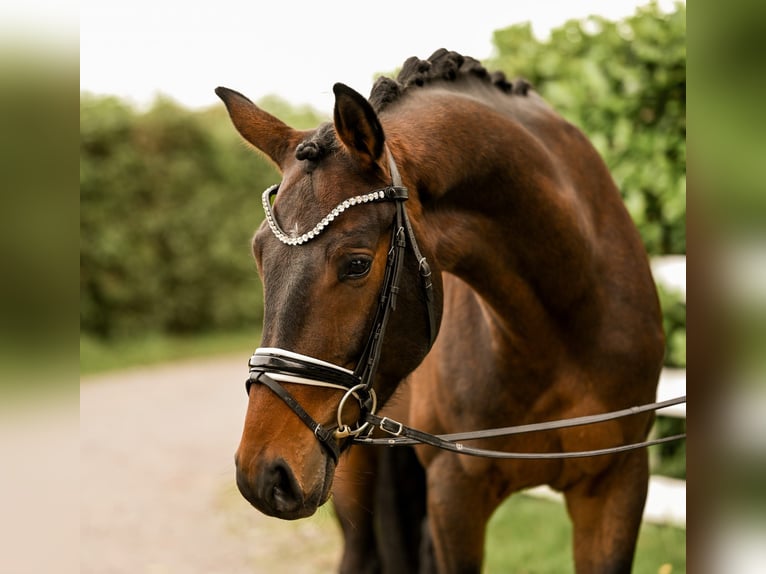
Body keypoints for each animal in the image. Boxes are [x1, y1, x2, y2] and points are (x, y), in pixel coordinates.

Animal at [216, 50, 664, 574]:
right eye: (259, 255)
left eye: (356, 263)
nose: (264, 473)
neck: (562, 331)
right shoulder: (455, 491)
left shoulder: (618, 483)